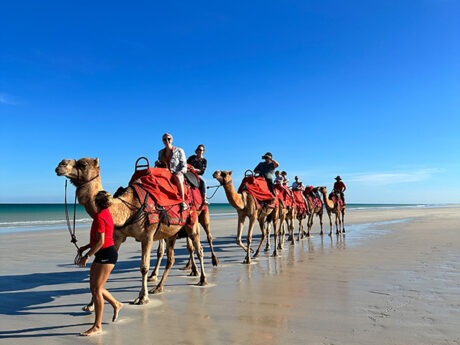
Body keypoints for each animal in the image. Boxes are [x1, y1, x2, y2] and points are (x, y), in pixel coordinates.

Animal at [54, 157, 208, 304]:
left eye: (83, 164)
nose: (61, 164)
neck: (128, 208)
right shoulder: (118, 236)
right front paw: (91, 303)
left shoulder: (147, 236)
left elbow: (144, 266)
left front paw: (142, 297)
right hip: (171, 232)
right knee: (171, 259)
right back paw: (158, 287)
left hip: (191, 222)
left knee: (198, 249)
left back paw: (202, 279)